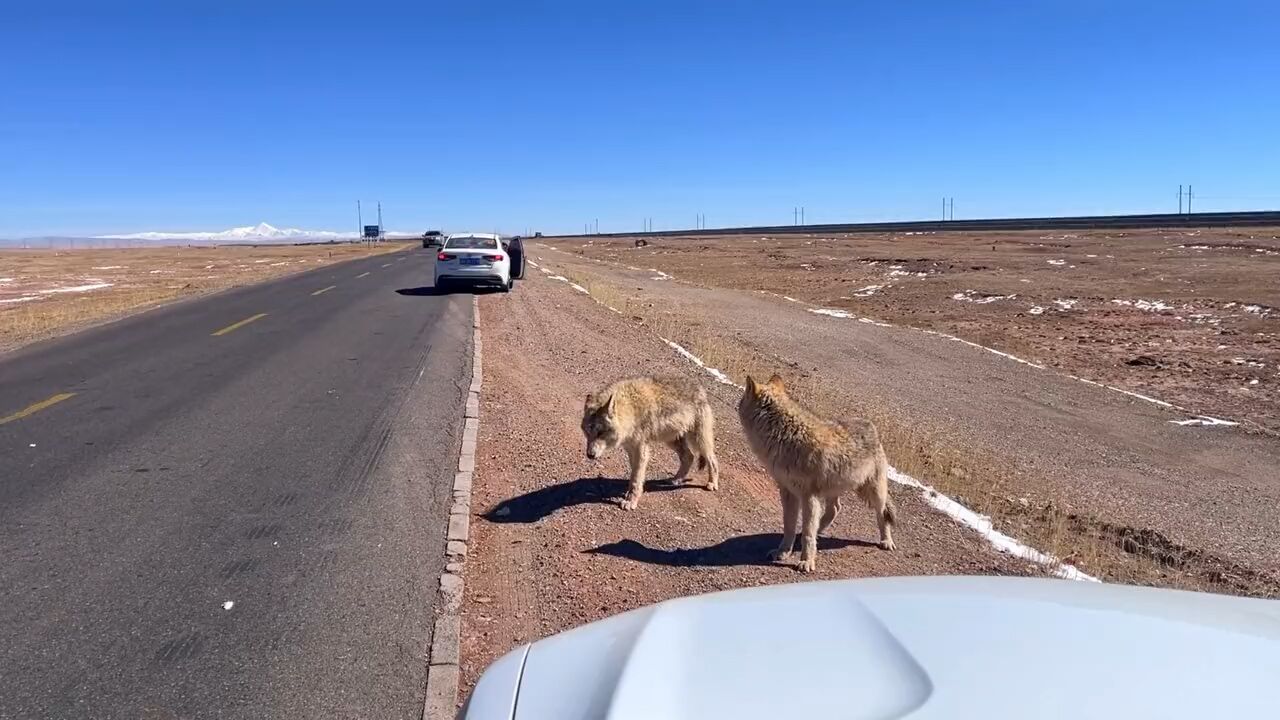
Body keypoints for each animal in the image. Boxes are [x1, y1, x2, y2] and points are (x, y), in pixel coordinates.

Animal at [581, 371, 721, 507]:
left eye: (600, 433)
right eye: (587, 432)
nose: (590, 455)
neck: (630, 409)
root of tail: (701, 389)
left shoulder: (641, 449)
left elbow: (636, 477)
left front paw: (631, 501)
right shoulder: (630, 448)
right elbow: (635, 474)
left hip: (698, 441)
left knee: (712, 460)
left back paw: (712, 484)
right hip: (671, 441)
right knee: (689, 456)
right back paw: (676, 479)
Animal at [737, 371, 896, 568]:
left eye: (742, 399)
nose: (736, 405)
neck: (785, 434)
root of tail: (871, 425)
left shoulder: (808, 496)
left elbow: (807, 532)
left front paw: (806, 561)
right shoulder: (788, 492)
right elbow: (790, 527)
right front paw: (783, 552)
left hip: (873, 494)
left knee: (882, 515)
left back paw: (886, 541)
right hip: (835, 491)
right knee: (835, 509)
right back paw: (819, 530)